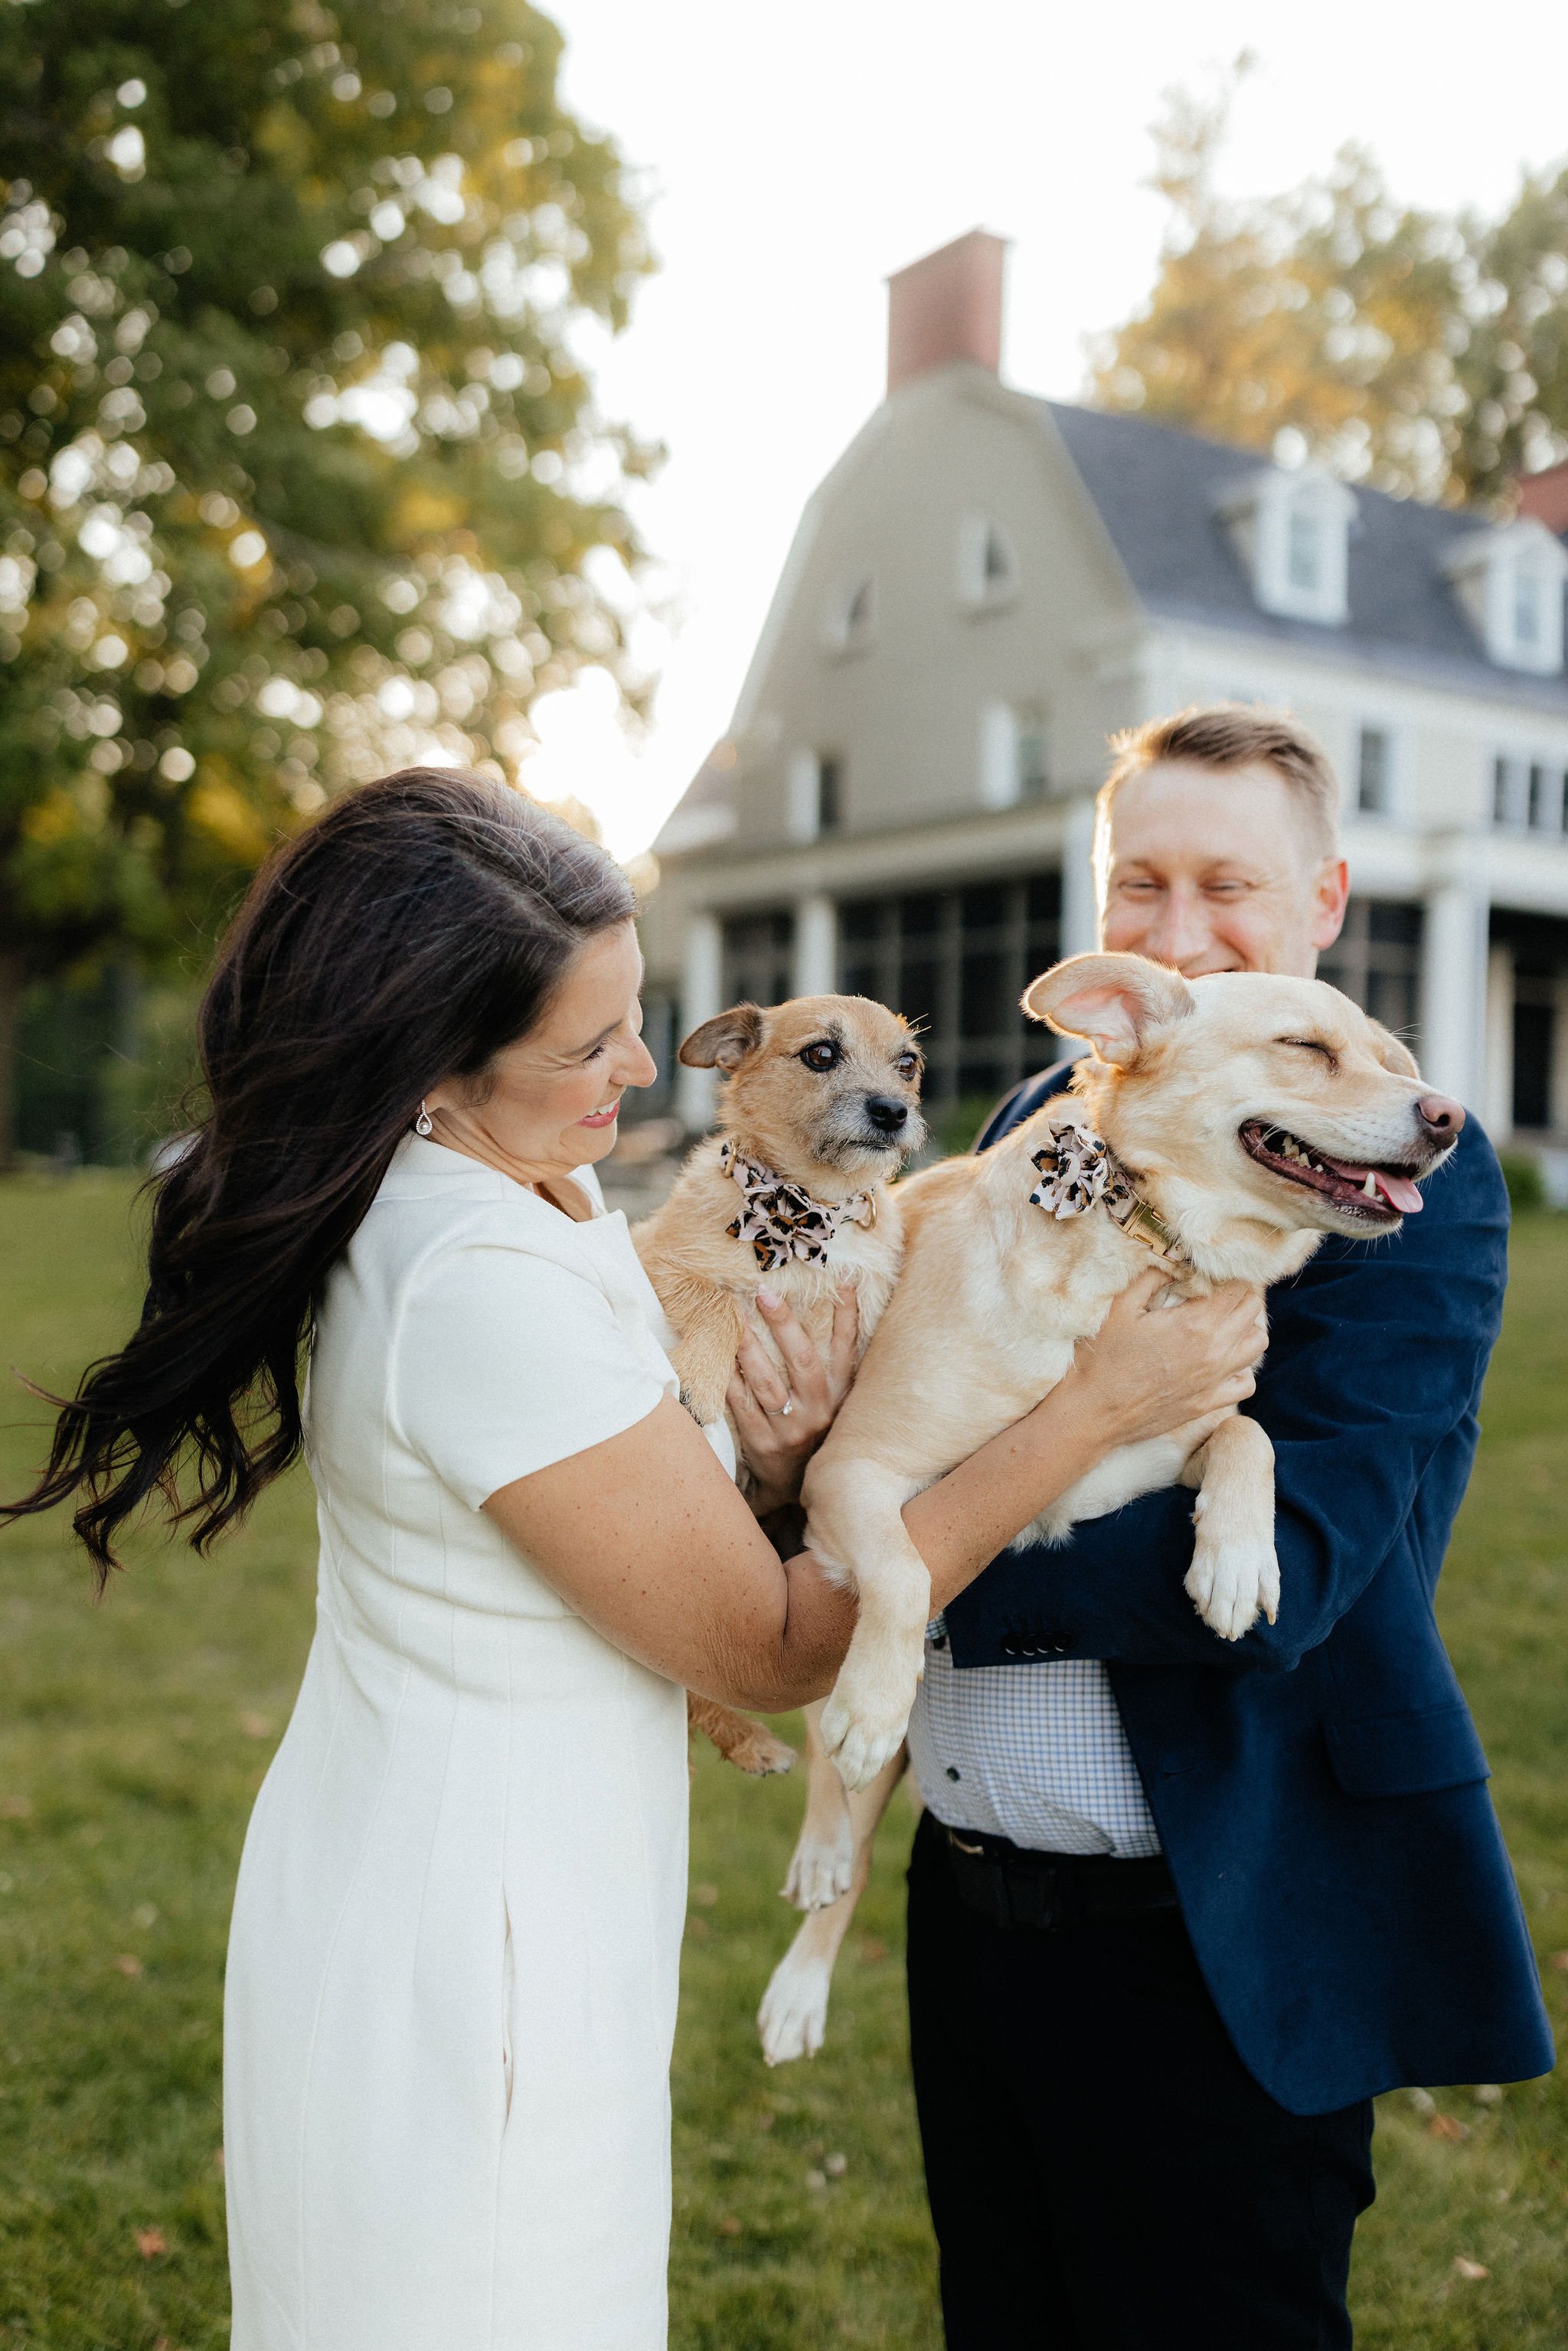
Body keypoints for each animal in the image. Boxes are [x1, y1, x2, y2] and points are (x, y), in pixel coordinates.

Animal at [756, 954, 1457, 2059]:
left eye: (1397, 1061)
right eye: (1305, 1047)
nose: (1451, 1118)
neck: (1146, 1245)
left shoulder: (1174, 1440)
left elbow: (1250, 1437)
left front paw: (1236, 1561)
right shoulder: (853, 1471)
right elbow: (906, 1574)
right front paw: (872, 1701)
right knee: (844, 1793)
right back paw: (810, 1926)